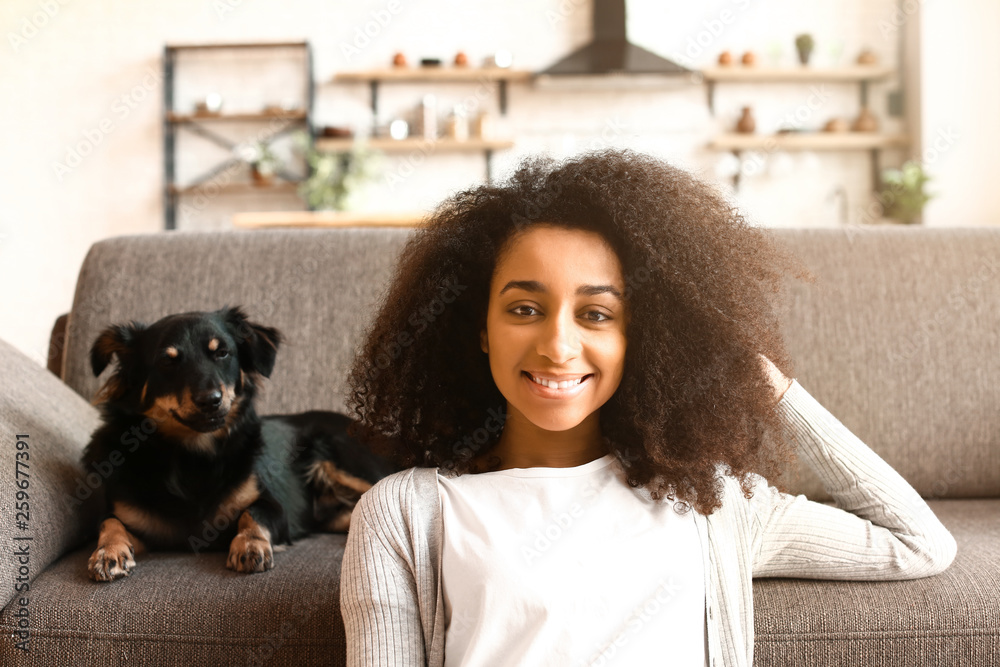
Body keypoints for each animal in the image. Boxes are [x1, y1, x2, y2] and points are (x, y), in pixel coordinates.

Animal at [82, 306, 394, 580]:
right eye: (167, 361)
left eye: (222, 353)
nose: (210, 400)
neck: (193, 455)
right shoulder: (135, 521)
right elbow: (109, 522)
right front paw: (108, 552)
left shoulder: (276, 508)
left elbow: (253, 512)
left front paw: (250, 545)